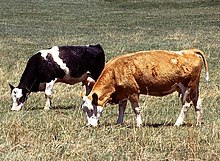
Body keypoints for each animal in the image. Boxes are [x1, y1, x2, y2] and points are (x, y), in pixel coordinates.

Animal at [81, 49, 209, 127]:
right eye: (84, 110)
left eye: (91, 109)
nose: (90, 125)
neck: (116, 71)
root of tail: (190, 51)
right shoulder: (123, 93)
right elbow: (121, 107)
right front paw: (119, 122)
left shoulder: (133, 92)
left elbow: (136, 109)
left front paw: (139, 124)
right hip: (195, 88)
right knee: (198, 103)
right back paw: (198, 123)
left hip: (187, 88)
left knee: (186, 105)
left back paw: (177, 123)